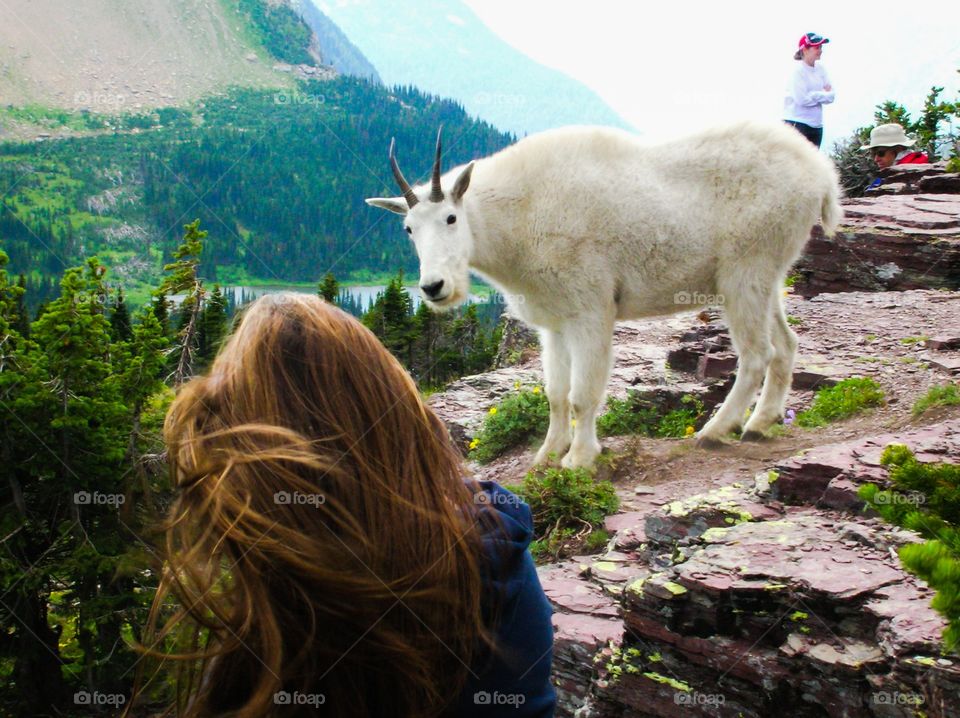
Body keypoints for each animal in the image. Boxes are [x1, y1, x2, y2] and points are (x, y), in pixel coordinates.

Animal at [367, 122, 842, 468]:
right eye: (408, 228)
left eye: (450, 218)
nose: (433, 287)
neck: (519, 215)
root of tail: (820, 173)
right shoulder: (554, 324)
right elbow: (556, 394)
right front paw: (546, 455)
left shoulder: (590, 310)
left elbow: (583, 394)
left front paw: (579, 458)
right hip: (768, 276)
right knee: (786, 344)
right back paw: (761, 423)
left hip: (744, 273)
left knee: (757, 354)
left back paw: (716, 431)